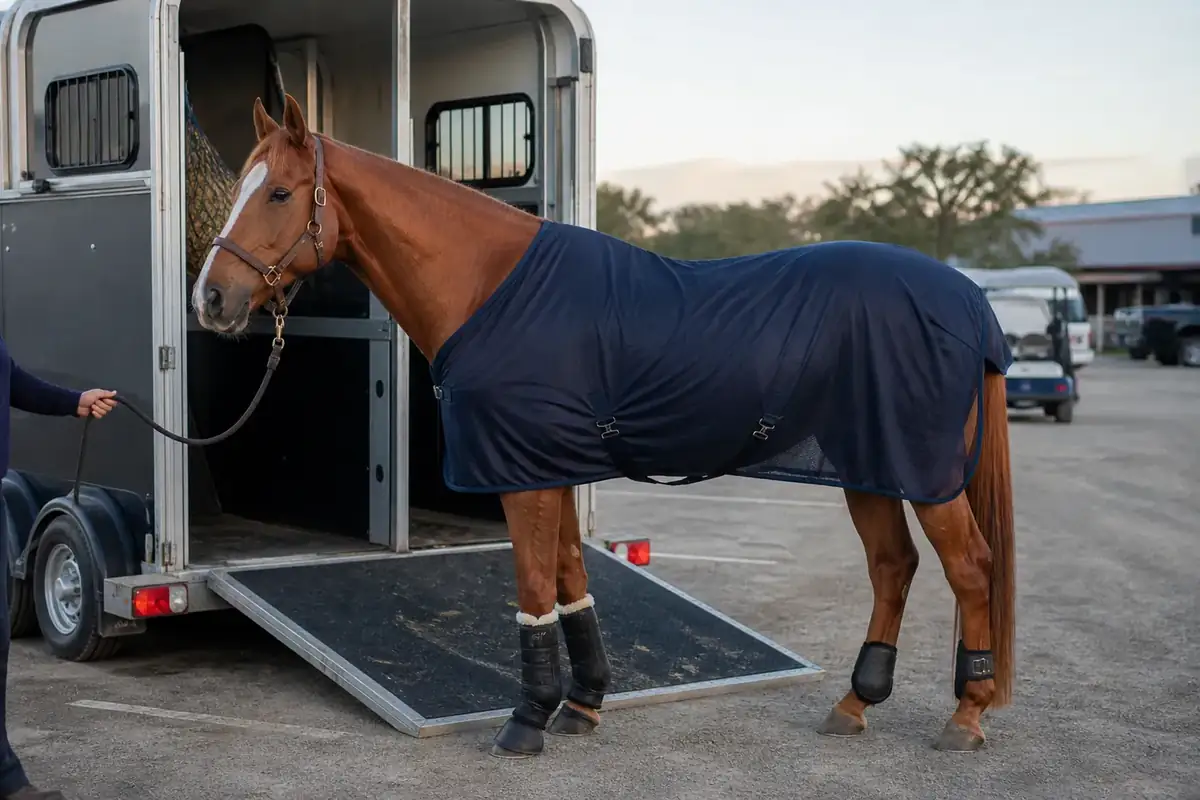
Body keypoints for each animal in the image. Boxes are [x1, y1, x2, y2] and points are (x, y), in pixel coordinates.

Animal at [191, 93, 1016, 758]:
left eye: (281, 193)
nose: (211, 299)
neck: (491, 284)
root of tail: (967, 298)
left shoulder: (523, 474)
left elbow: (532, 586)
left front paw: (525, 722)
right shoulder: (550, 467)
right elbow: (570, 581)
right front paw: (582, 703)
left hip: (921, 473)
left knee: (971, 567)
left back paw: (967, 715)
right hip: (868, 466)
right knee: (893, 566)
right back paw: (854, 704)